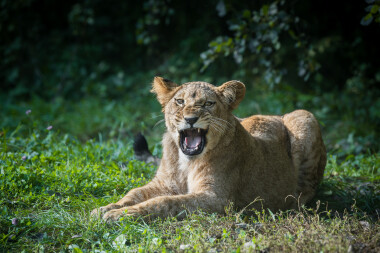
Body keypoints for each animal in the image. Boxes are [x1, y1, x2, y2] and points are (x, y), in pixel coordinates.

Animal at [92, 77, 326, 221]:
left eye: (208, 104)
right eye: (179, 101)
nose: (190, 119)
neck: (185, 162)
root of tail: (276, 115)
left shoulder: (217, 199)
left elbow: (164, 202)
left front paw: (120, 215)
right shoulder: (163, 183)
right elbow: (134, 193)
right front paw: (106, 208)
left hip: (305, 117)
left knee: (308, 188)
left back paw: (292, 205)